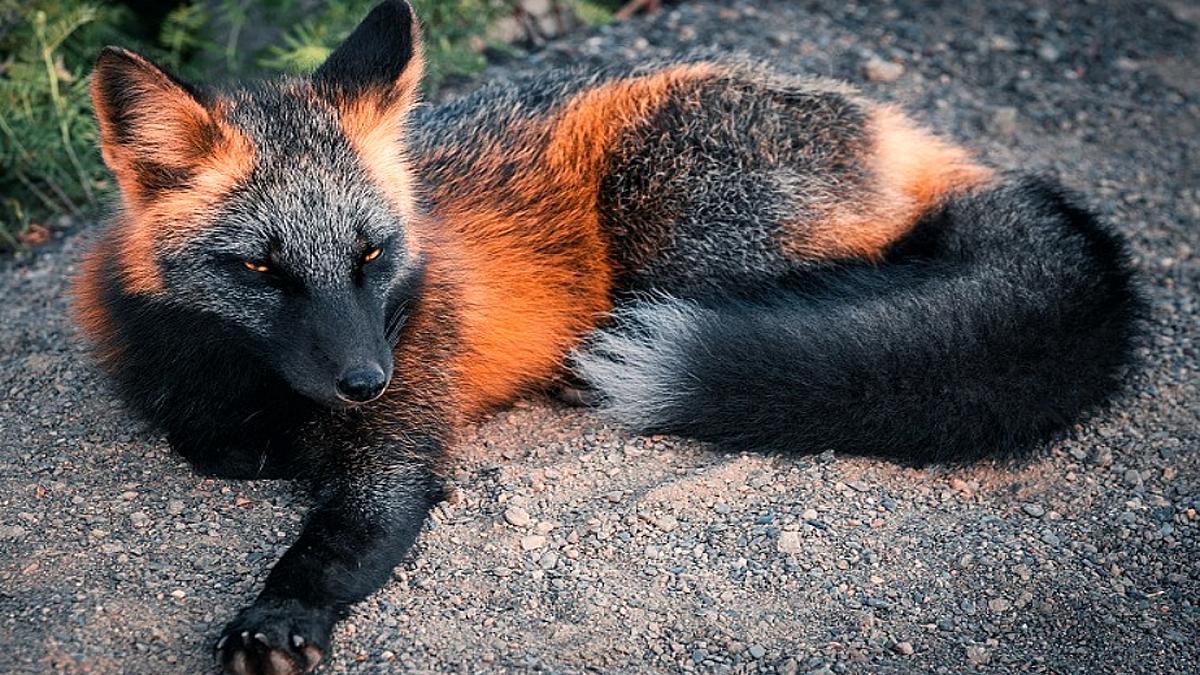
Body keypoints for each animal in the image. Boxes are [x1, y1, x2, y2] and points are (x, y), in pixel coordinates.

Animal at [72, 1, 1141, 673]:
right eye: (261, 270)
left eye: (372, 255)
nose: (366, 377)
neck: (247, 383)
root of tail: (892, 125)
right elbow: (209, 444)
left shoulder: (402, 440)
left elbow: (340, 537)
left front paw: (281, 612)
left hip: (673, 226)